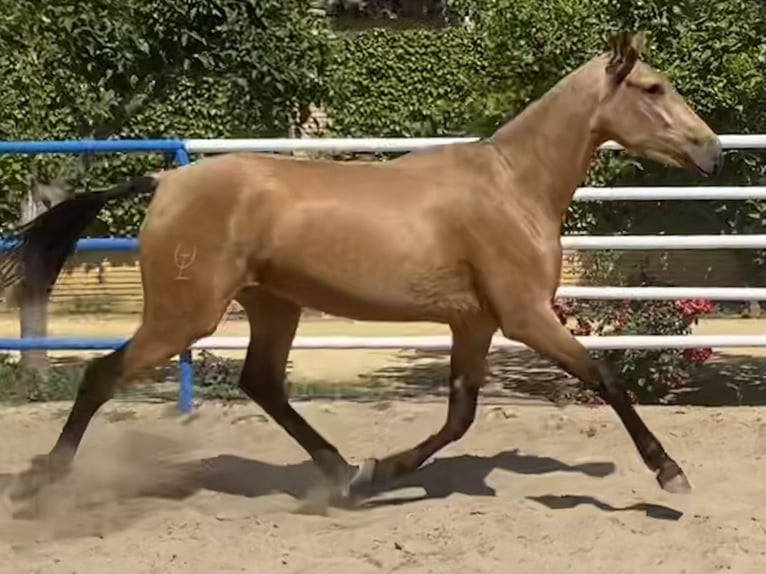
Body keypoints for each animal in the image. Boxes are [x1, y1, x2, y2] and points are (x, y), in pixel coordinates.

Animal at [1, 32, 720, 508]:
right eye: (652, 88)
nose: (710, 150)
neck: (513, 185)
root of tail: (165, 181)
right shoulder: (525, 316)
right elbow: (605, 377)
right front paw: (669, 472)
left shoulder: (475, 324)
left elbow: (460, 415)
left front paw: (380, 470)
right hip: (185, 316)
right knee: (102, 375)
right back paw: (44, 479)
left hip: (272, 304)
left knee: (262, 383)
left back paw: (342, 471)